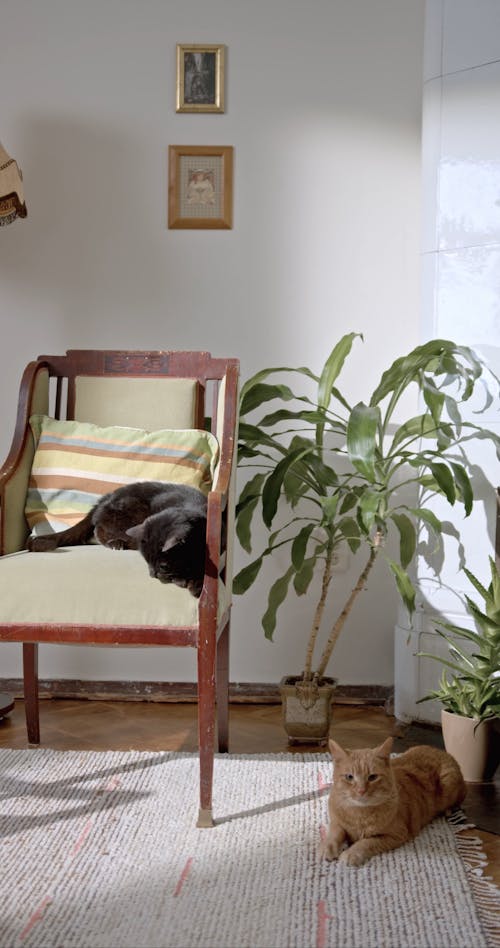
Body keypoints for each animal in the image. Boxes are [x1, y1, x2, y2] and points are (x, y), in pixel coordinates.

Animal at [27, 486, 207, 596]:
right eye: (147, 562)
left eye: (163, 565)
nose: (153, 575)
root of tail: (106, 497)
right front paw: (187, 582)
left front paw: (194, 582)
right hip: (129, 511)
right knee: (99, 528)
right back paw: (116, 543)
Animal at [322, 736, 466, 872]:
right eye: (349, 777)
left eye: (372, 777)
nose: (361, 791)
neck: (360, 815)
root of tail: (444, 752)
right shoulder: (336, 822)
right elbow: (334, 833)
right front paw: (327, 848)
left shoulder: (396, 835)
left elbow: (366, 842)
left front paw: (351, 853)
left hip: (449, 784)